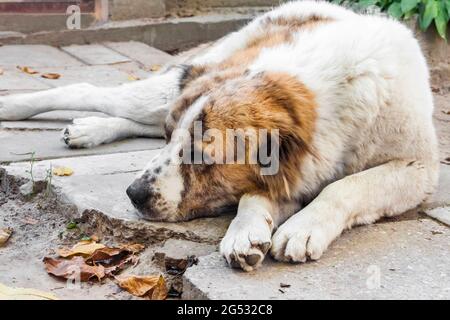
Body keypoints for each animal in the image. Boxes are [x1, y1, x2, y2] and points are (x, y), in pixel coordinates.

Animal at [0, 0, 438, 272]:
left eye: (202, 156)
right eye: (172, 140)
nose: (133, 194)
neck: (334, 90)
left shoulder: (418, 167)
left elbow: (347, 186)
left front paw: (301, 226)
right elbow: (255, 193)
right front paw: (246, 229)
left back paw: (89, 128)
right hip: (173, 84)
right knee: (91, 91)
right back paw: (22, 109)